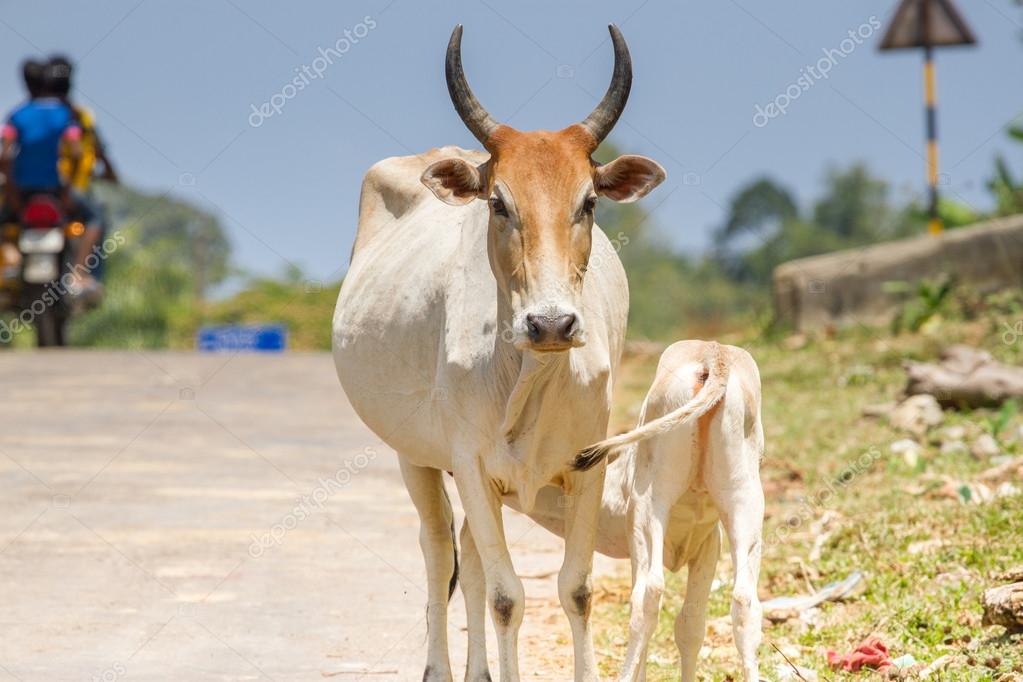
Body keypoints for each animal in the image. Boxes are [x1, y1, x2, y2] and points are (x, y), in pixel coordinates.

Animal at [332, 24, 666, 682]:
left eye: (589, 202)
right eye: (499, 204)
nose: (551, 322)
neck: (527, 373)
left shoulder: (588, 464)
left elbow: (575, 589)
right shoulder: (470, 464)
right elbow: (508, 595)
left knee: (471, 563)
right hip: (416, 455)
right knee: (441, 553)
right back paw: (441, 668)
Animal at [501, 341, 765, 681]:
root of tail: (713, 354)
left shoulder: (657, 537)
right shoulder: (708, 548)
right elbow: (691, 626)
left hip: (649, 505)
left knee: (648, 593)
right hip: (744, 504)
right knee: (745, 600)